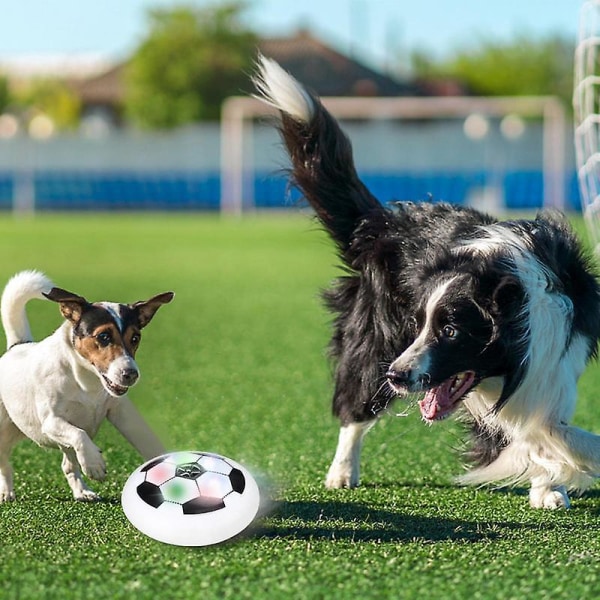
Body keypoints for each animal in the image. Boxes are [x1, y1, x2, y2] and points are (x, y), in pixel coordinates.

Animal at [254, 56, 600, 508]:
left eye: (451, 331)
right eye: (420, 325)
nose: (396, 376)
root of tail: (382, 224)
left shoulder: (556, 359)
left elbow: (546, 424)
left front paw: (549, 487)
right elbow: (545, 434)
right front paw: (563, 471)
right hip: (375, 337)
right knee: (356, 405)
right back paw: (342, 472)